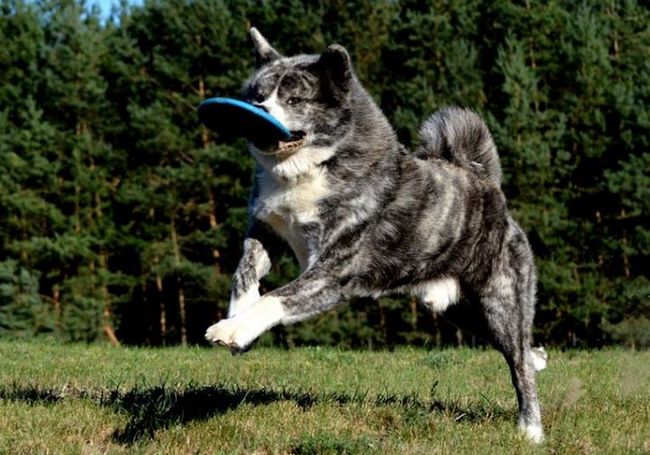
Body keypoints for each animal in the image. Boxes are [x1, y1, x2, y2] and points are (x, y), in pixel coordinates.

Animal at [205, 27, 547, 443]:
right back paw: (538, 358)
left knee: (518, 362)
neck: (312, 166)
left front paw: (233, 329)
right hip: (463, 311)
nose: (257, 114)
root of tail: (488, 186)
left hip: (501, 299)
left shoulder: (334, 269)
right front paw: (240, 314)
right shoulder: (266, 226)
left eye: (294, 100)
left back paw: (531, 430)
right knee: (519, 348)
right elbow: (245, 269)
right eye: (257, 96)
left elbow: (277, 297)